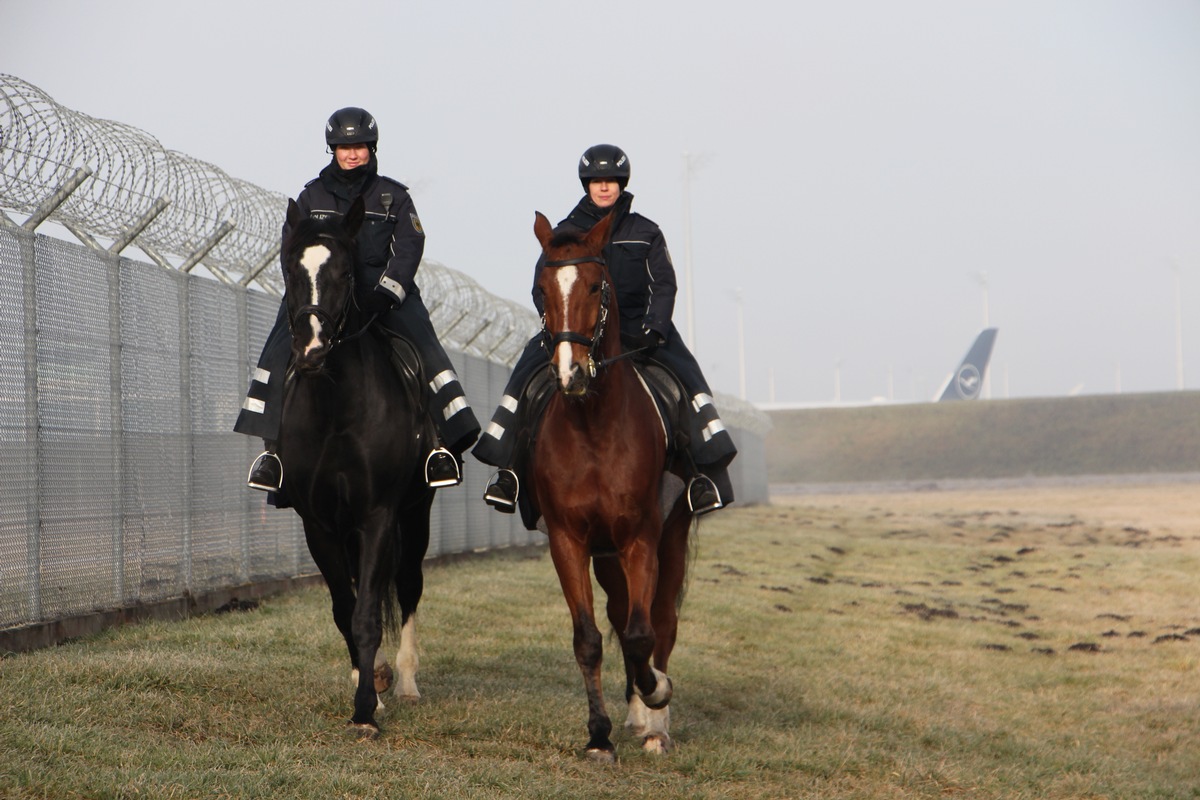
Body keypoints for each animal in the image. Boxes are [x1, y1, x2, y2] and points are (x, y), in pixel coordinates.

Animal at [276, 195, 436, 738]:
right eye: (290, 269)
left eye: (345, 273)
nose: (311, 351)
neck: (337, 410)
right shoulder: (318, 523)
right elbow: (345, 609)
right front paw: (367, 689)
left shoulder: (379, 516)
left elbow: (368, 613)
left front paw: (366, 710)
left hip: (416, 514)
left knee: (408, 585)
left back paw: (406, 682)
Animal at [528, 209, 691, 762]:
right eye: (541, 289)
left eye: (596, 285)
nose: (571, 373)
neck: (594, 427)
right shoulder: (569, 541)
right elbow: (591, 639)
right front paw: (598, 735)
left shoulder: (641, 537)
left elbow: (644, 634)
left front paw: (657, 693)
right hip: (605, 555)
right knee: (621, 615)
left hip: (670, 537)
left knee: (659, 622)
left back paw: (656, 721)